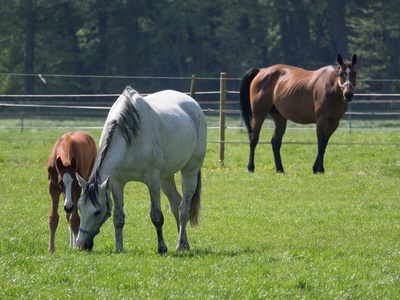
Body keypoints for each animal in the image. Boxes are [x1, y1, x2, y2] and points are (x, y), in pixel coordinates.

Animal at [76, 87, 206, 253]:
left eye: (97, 211)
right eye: (79, 207)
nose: (81, 244)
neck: (129, 136)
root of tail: (194, 105)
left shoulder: (152, 181)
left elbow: (156, 216)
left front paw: (162, 248)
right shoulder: (117, 183)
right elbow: (118, 218)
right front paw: (119, 248)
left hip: (190, 171)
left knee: (184, 210)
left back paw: (179, 245)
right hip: (166, 177)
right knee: (176, 206)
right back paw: (184, 243)